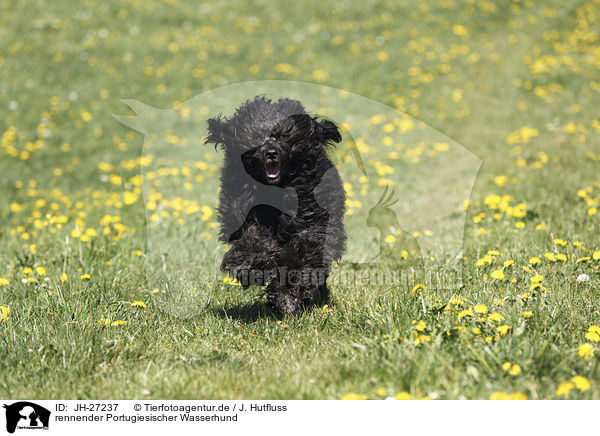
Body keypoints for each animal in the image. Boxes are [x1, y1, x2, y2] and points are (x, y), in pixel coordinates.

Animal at [206, 96, 346, 314]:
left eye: (282, 137)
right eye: (256, 138)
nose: (271, 153)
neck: (276, 190)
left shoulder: (314, 222)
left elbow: (304, 251)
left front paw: (287, 295)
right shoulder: (243, 211)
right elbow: (253, 238)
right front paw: (250, 265)